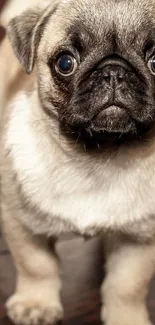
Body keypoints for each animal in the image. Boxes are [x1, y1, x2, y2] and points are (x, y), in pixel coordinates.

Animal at [1, 0, 155, 322]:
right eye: (65, 63)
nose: (113, 71)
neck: (97, 158)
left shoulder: (140, 238)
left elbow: (127, 285)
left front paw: (126, 318)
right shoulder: (21, 223)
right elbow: (35, 265)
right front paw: (36, 304)